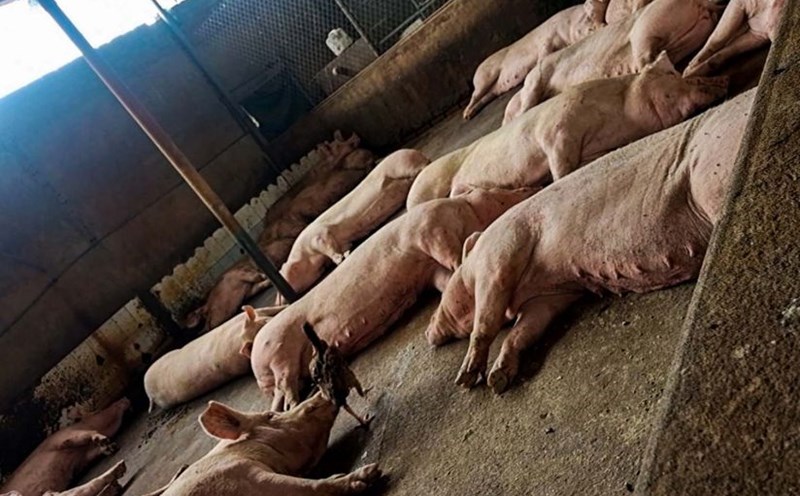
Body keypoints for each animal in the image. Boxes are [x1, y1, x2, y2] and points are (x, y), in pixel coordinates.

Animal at [248, 187, 537, 411]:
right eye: (494, 191)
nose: (527, 188)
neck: (459, 210)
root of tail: (257, 368)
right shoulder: (431, 232)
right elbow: (450, 256)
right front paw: (461, 262)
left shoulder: (432, 271)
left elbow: (445, 278)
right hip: (278, 354)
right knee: (286, 388)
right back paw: (292, 408)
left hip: (284, 368)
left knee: (285, 392)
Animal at [278, 149, 430, 300]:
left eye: (282, 275)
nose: (280, 302)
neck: (310, 256)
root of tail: (414, 152)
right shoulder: (342, 241)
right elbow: (343, 246)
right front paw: (347, 253)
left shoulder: (319, 234)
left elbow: (328, 245)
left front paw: (339, 259)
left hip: (400, 165)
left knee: (422, 166)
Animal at [406, 52, 728, 208]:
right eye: (677, 80)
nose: (722, 81)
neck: (619, 117)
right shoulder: (557, 131)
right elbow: (560, 161)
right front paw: (556, 181)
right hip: (426, 189)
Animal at [427, 88, 756, 395]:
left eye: (445, 294)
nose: (429, 332)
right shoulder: (552, 296)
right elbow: (523, 332)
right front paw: (498, 381)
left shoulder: (501, 254)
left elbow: (486, 318)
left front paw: (465, 379)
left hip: (709, 173)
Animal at [463, 0, 607, 120]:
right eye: (588, 17)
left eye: (601, 16)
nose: (602, 25)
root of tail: (476, 72)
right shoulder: (547, 39)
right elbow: (544, 51)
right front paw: (539, 62)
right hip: (484, 77)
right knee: (475, 95)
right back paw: (466, 115)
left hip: (492, 90)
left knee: (484, 97)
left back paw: (470, 114)